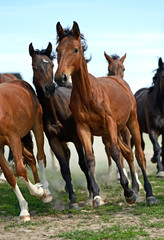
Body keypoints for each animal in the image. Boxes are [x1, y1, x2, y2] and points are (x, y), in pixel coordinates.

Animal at [0, 79, 53, 222]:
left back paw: (46, 191)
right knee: (31, 159)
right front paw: (24, 210)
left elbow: (20, 170)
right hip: (21, 139)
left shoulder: (12, 138)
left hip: (36, 126)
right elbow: (10, 176)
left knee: (40, 157)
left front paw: (40, 191)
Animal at [28, 42, 91, 209]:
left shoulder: (77, 138)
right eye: (34, 66)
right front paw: (72, 199)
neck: (56, 113)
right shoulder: (54, 141)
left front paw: (91, 192)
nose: (49, 88)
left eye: (51, 64)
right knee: (67, 155)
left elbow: (83, 163)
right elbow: (64, 169)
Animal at [54, 21, 156, 207]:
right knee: (128, 153)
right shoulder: (83, 129)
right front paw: (96, 196)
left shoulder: (109, 123)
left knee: (138, 155)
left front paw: (128, 192)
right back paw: (137, 188)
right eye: (57, 50)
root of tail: (120, 81)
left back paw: (149, 193)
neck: (89, 95)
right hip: (114, 130)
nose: (61, 78)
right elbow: (89, 158)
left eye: (75, 49)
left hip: (131, 123)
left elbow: (115, 152)